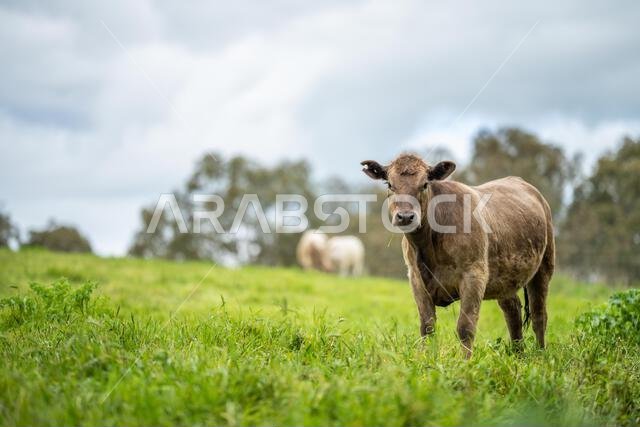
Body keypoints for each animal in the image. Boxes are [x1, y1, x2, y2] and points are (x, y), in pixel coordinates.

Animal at [361, 153, 554, 357]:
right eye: (390, 184)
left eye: (425, 184)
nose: (405, 216)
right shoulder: (415, 279)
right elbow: (427, 326)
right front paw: (427, 358)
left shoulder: (474, 275)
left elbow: (465, 327)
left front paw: (465, 362)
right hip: (505, 278)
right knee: (513, 311)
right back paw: (518, 354)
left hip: (544, 267)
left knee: (539, 315)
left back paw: (540, 354)